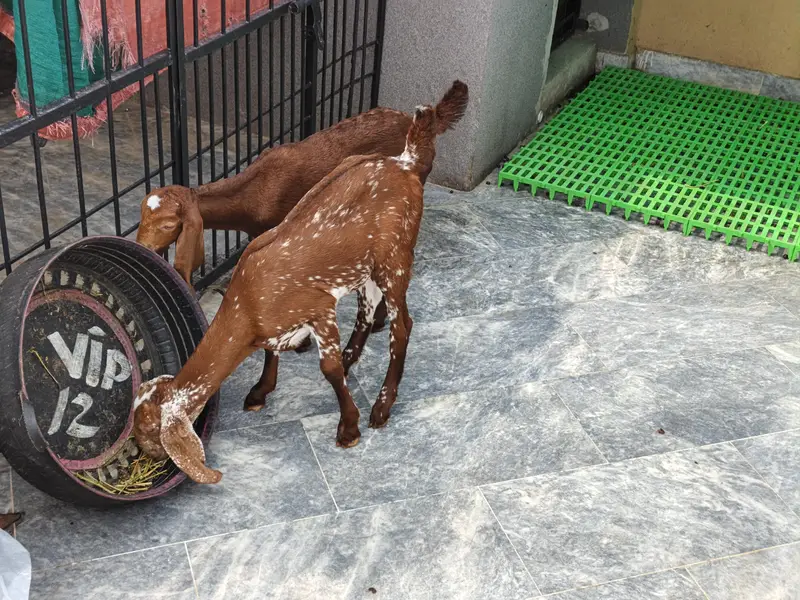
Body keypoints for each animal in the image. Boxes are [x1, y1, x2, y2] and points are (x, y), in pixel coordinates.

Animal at [132, 81, 469, 484]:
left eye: (149, 430)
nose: (146, 460)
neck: (247, 309)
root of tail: (406, 157)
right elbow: (273, 351)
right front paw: (261, 391)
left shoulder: (318, 307)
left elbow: (328, 370)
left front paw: (349, 428)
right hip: (366, 266)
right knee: (367, 311)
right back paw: (355, 355)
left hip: (396, 257)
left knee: (403, 325)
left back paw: (382, 406)